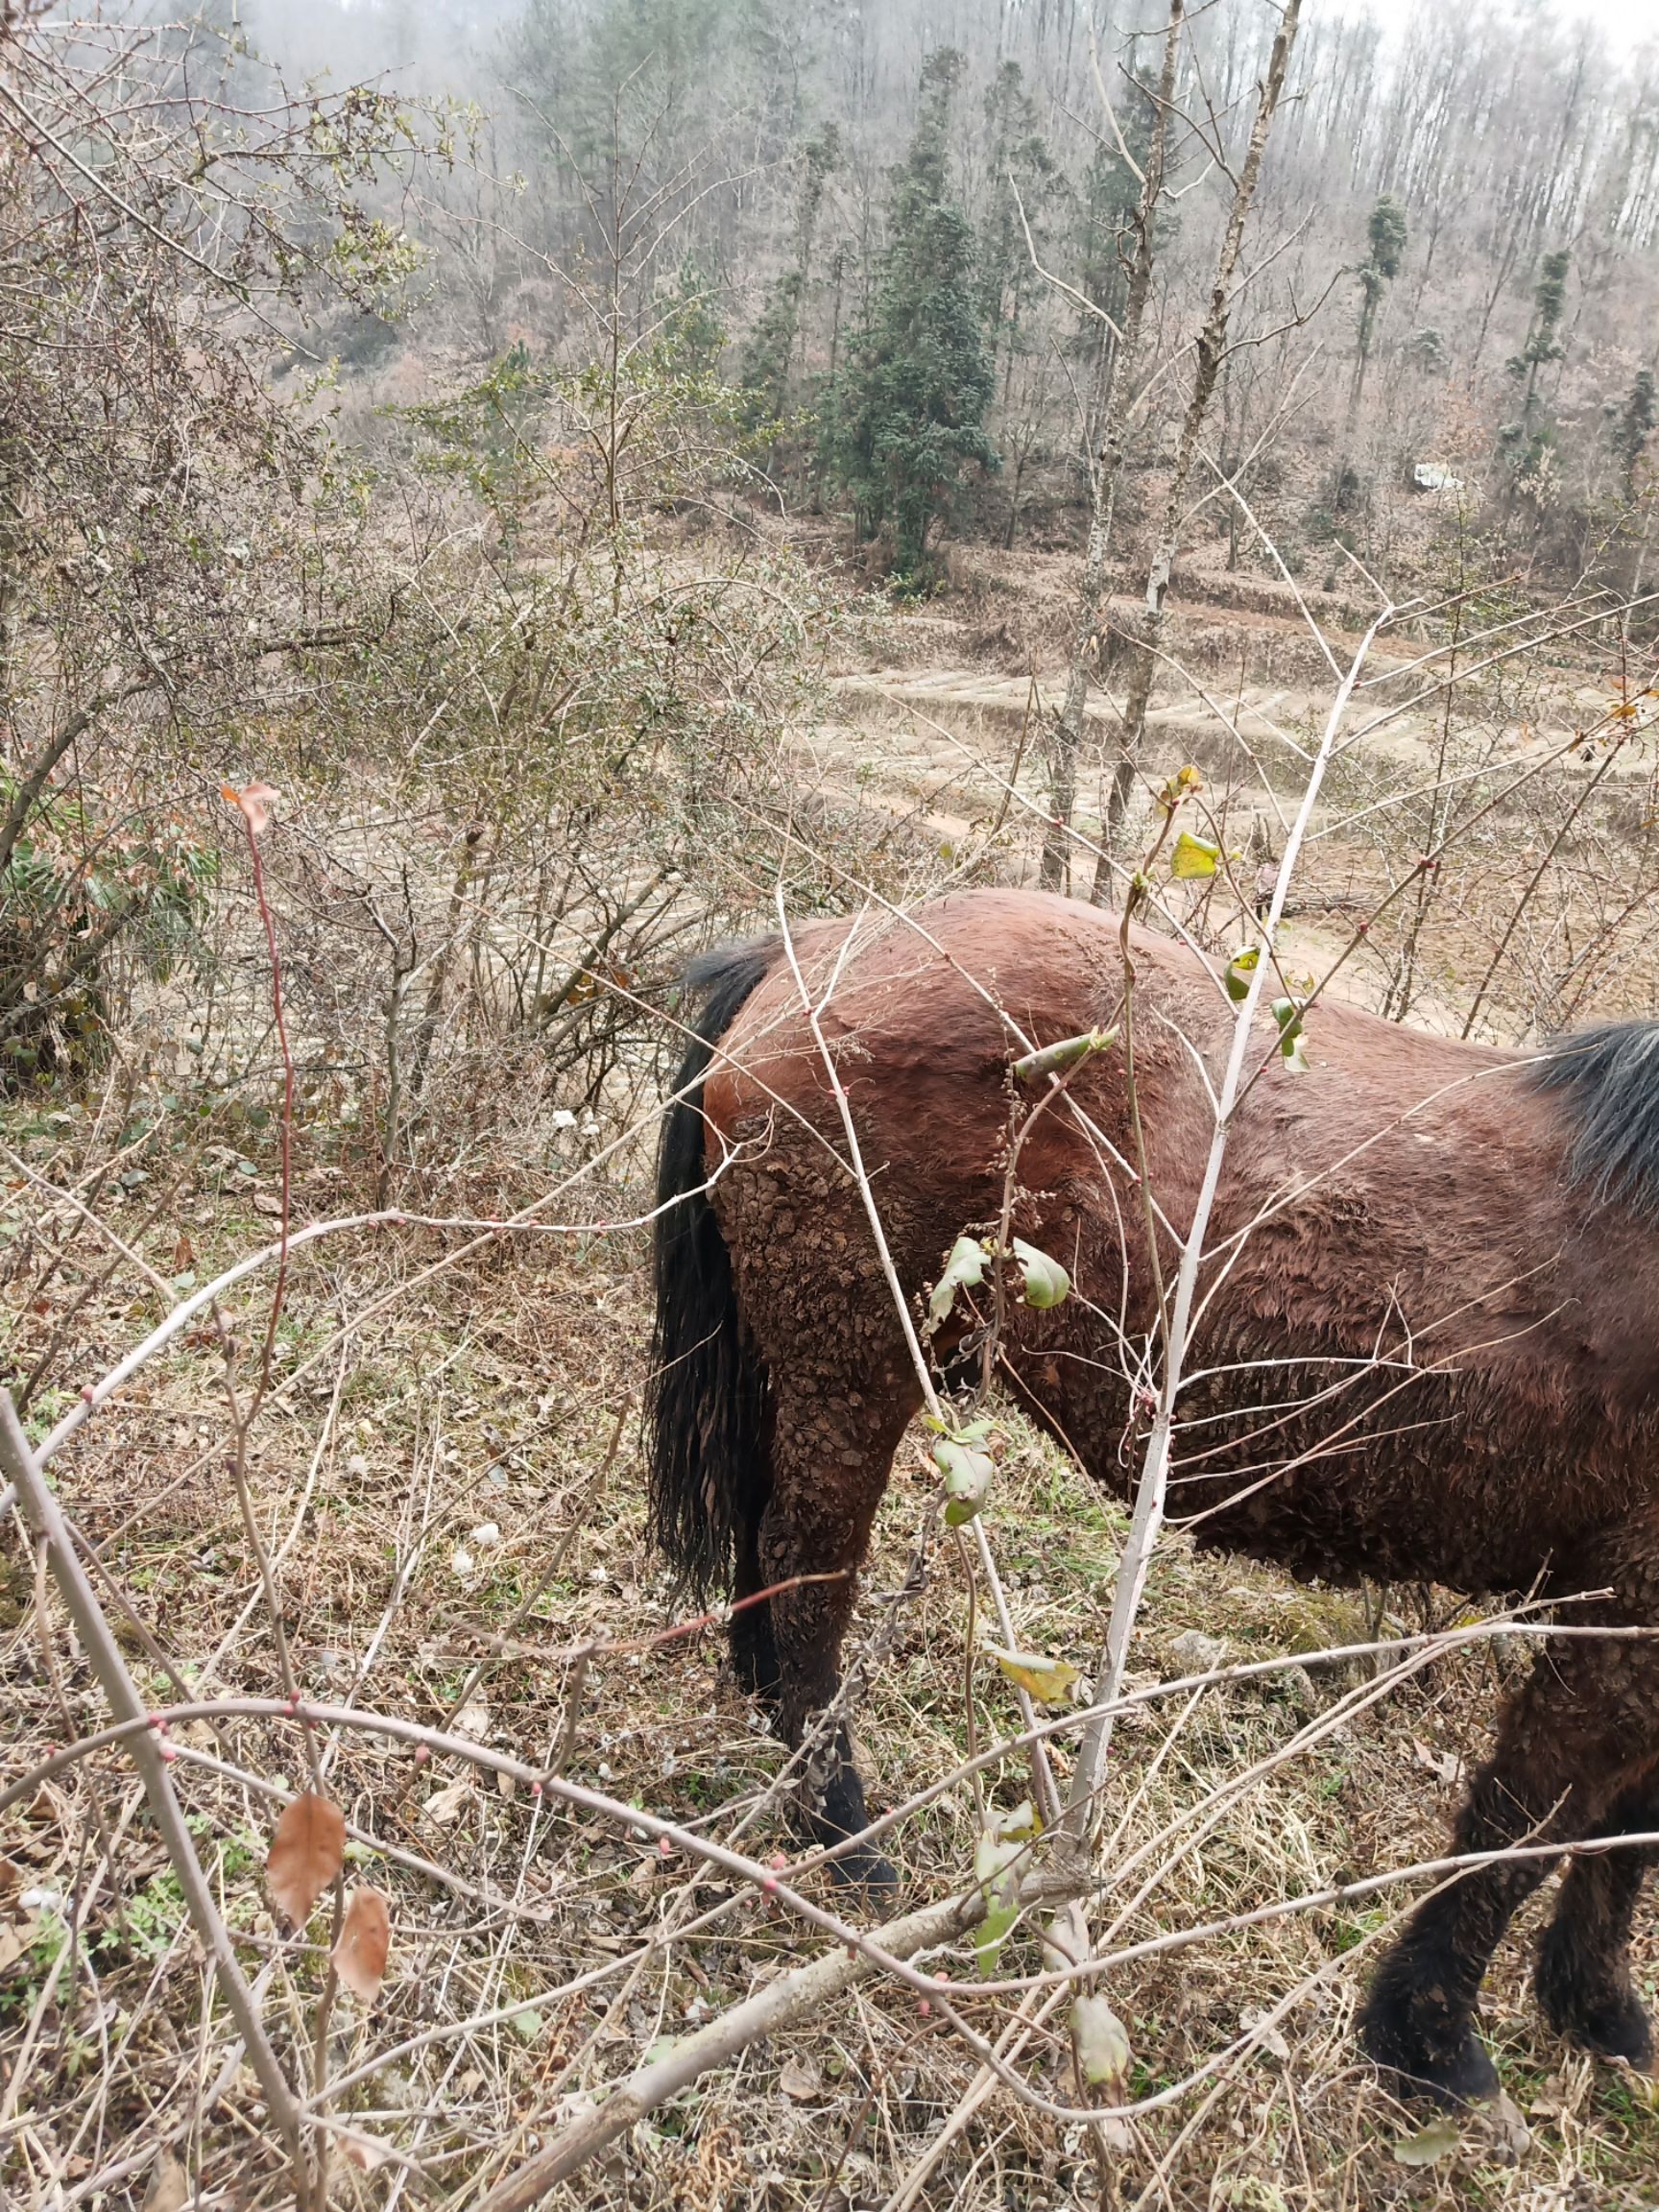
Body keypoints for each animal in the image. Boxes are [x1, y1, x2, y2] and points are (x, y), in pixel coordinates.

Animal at [645, 886, 1659, 2104]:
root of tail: (811, 949)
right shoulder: (1621, 1624)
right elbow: (1527, 1826)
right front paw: (1430, 2035)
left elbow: (1621, 1833)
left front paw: (1595, 2005)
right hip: (855, 1364)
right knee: (809, 1569)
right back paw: (840, 1827)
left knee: (769, 1549)